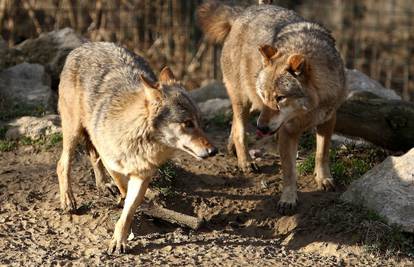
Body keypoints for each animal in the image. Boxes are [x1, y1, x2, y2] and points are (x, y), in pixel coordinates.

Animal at [57, 42, 218, 253]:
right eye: (188, 123)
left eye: (200, 122)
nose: (214, 151)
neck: (139, 141)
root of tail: (85, 45)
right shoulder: (113, 163)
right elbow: (123, 187)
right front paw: (125, 201)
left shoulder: (143, 174)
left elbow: (129, 210)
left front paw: (119, 239)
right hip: (73, 131)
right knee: (62, 164)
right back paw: (68, 200)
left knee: (92, 156)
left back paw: (103, 185)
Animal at [197, 1, 346, 214]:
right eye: (265, 95)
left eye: (280, 98)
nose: (261, 127)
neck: (308, 110)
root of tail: (241, 13)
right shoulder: (287, 132)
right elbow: (289, 172)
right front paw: (288, 199)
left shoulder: (328, 119)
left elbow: (321, 153)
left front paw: (324, 179)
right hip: (245, 100)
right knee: (240, 130)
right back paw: (245, 161)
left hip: (252, 105)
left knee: (234, 124)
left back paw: (232, 148)